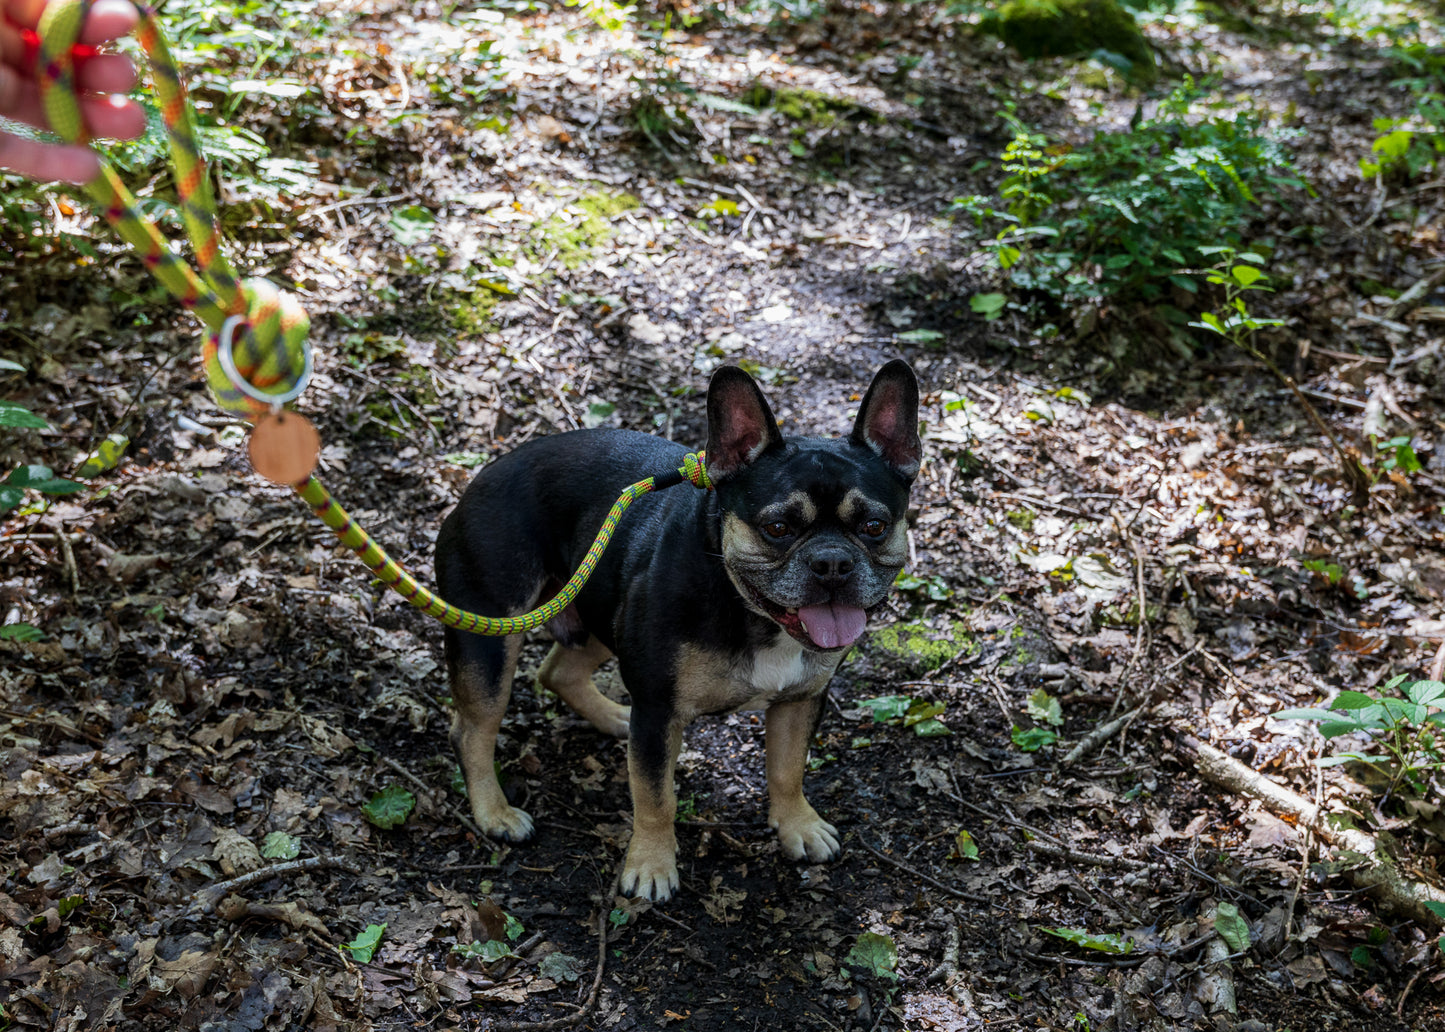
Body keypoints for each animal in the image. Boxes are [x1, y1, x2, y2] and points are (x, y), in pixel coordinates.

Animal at [433, 358, 919, 896]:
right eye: (777, 529)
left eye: (874, 527)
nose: (832, 562)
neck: (747, 606)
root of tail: (482, 476)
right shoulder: (659, 710)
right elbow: (654, 795)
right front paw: (650, 865)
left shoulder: (800, 700)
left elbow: (788, 768)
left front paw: (799, 826)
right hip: (491, 635)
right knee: (472, 731)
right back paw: (495, 814)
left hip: (602, 610)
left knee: (558, 671)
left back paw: (612, 717)